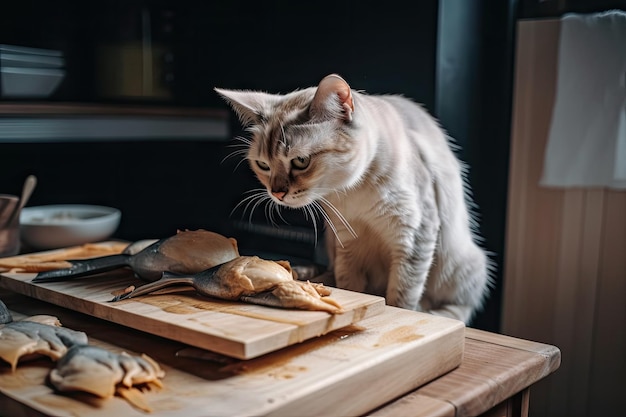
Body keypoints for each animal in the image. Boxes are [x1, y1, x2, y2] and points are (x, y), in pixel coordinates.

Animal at [217, 73, 490, 324]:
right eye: (263, 165)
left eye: (301, 161)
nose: (277, 193)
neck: (351, 192)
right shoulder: (347, 242)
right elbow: (351, 285)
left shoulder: (413, 236)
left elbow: (401, 297)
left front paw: (402, 312)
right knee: (329, 272)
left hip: (461, 263)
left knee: (459, 307)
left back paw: (432, 312)